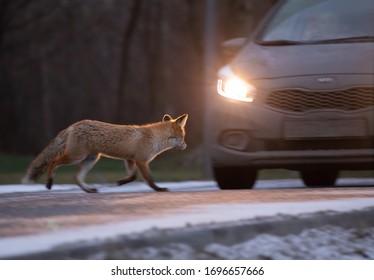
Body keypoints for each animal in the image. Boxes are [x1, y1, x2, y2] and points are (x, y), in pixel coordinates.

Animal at [21, 114, 188, 192]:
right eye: (183, 137)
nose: (185, 146)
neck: (154, 138)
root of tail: (74, 125)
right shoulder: (141, 161)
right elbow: (149, 179)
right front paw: (159, 189)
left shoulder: (130, 159)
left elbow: (133, 176)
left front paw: (121, 182)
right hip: (76, 157)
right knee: (53, 162)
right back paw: (49, 183)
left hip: (91, 159)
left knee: (76, 177)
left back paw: (88, 190)